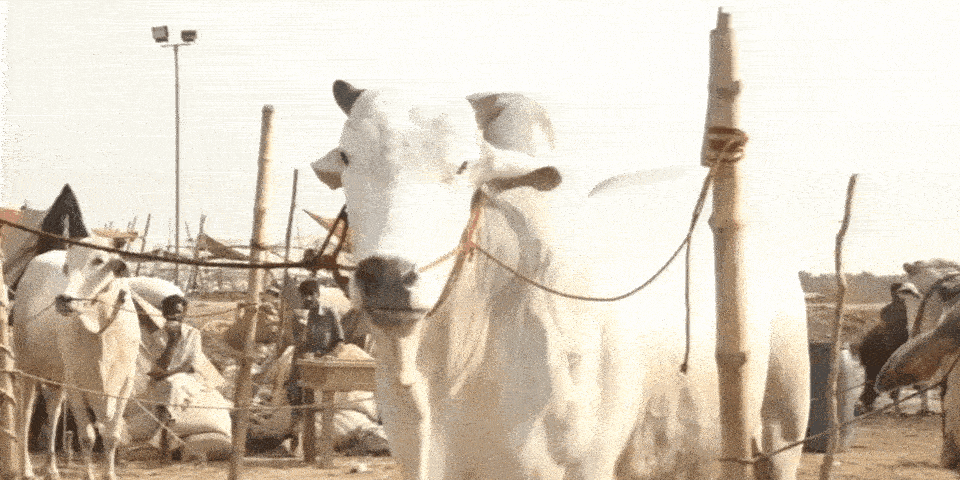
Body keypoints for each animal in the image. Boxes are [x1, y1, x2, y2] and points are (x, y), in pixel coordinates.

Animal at [12, 236, 140, 480]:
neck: (101, 327)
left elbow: (112, 435)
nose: (63, 299)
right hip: (28, 370)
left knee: (53, 415)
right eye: (67, 265)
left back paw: (51, 468)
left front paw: (110, 474)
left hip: (56, 379)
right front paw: (89, 475)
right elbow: (87, 437)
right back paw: (27, 469)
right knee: (25, 415)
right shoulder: (76, 384)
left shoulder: (125, 384)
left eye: (99, 260)